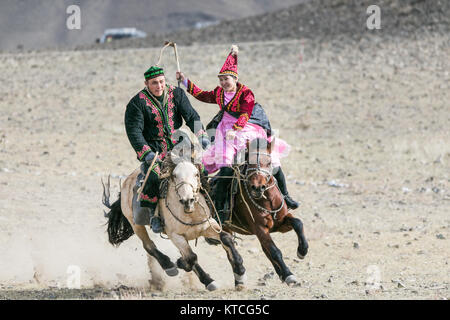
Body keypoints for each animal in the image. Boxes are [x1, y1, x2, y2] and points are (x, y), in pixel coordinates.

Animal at [103, 148, 246, 290]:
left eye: (196, 174)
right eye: (175, 175)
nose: (188, 200)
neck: (190, 213)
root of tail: (127, 181)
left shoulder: (207, 225)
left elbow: (226, 238)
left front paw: (240, 274)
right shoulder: (175, 235)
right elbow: (191, 258)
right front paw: (181, 264)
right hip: (135, 224)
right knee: (149, 246)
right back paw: (169, 266)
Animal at [222, 138, 310, 284]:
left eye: (268, 162)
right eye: (249, 162)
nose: (257, 187)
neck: (267, 200)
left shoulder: (280, 224)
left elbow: (298, 222)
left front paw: (302, 251)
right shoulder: (260, 229)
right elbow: (275, 251)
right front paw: (289, 274)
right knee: (228, 247)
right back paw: (239, 277)